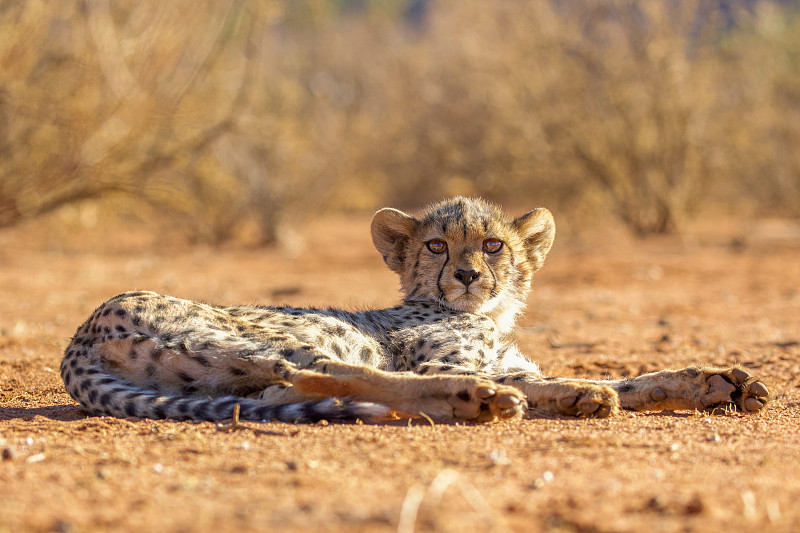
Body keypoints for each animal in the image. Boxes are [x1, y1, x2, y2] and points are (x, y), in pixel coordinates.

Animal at [57, 196, 768, 424]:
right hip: (278, 340)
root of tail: (82, 332)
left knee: (280, 394)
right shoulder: (443, 357)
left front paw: (711, 381)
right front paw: (580, 393)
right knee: (320, 376)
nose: (468, 275)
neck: (493, 315)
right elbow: (572, 381)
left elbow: (630, 379)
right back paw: (474, 400)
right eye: (436, 245)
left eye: (493, 245)